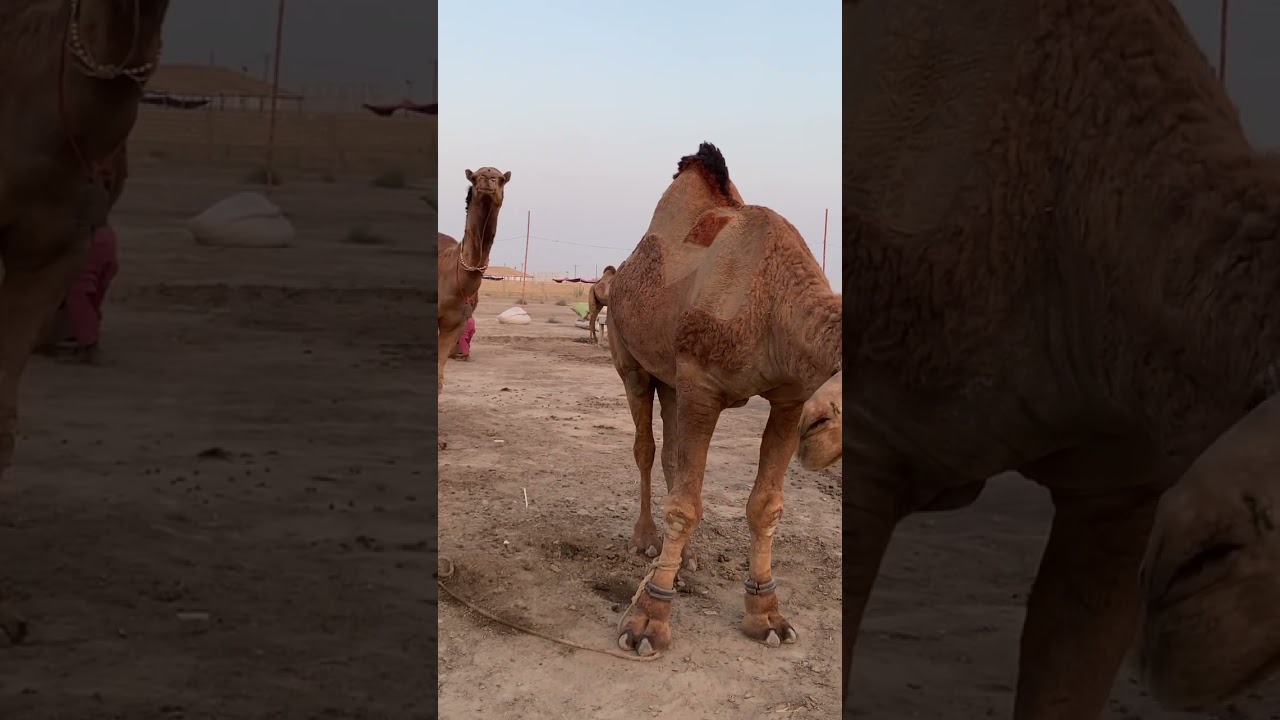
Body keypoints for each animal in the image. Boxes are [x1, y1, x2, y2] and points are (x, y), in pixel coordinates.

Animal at [606, 143, 841, 657]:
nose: (819, 433)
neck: (773, 300)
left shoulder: (789, 397)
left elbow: (765, 505)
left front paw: (767, 614)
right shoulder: (702, 384)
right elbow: (684, 506)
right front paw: (648, 621)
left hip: (672, 381)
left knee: (673, 457)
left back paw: (685, 558)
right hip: (630, 360)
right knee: (645, 448)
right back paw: (644, 540)